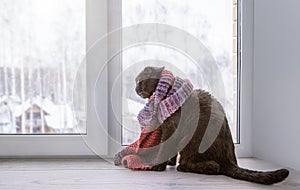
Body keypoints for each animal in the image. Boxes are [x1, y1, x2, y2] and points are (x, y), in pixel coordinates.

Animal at [135, 66, 290, 185]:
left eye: (139, 81)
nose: (135, 87)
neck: (167, 94)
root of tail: (230, 161)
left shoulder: (170, 130)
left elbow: (164, 149)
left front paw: (157, 166)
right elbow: (170, 152)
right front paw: (169, 163)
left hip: (190, 141)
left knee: (212, 166)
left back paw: (183, 167)